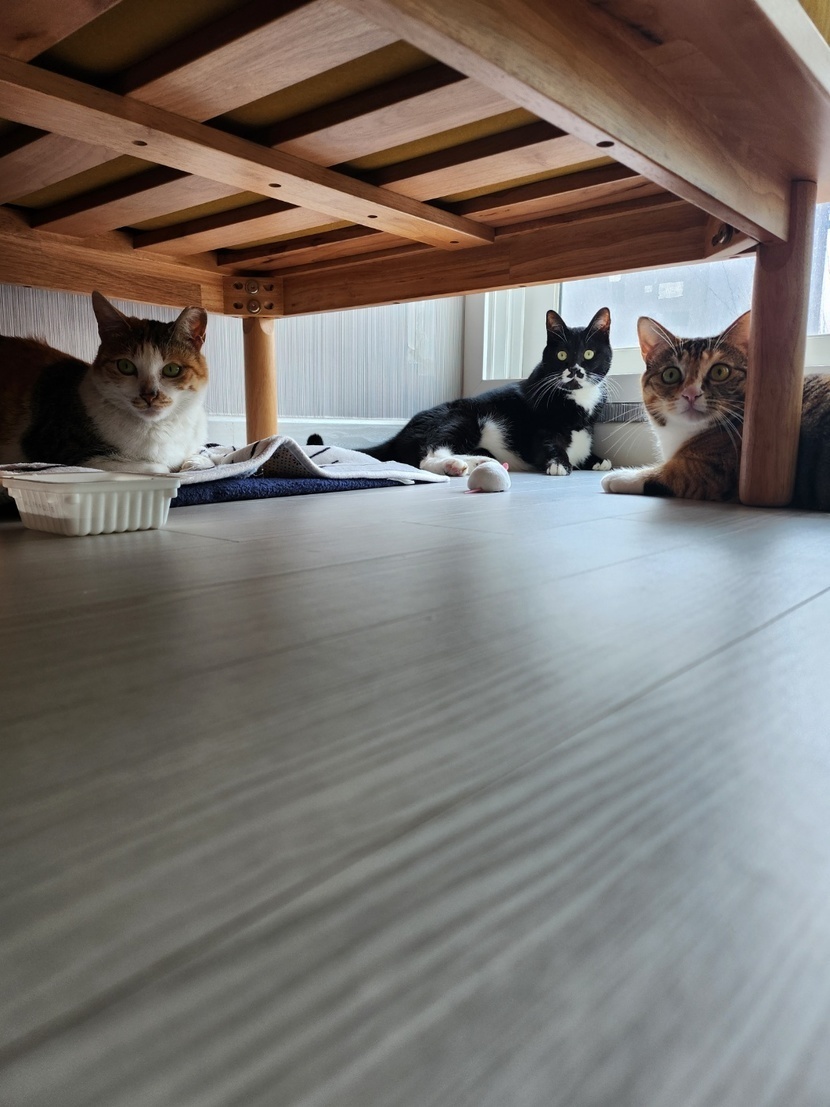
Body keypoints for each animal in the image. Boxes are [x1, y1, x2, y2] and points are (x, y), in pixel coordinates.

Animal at [0, 290, 213, 475]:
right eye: (125, 366)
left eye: (172, 369)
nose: (149, 395)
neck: (160, 428)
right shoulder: (63, 450)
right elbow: (157, 468)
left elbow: (204, 457)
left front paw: (195, 462)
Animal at [336, 307, 613, 477]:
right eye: (562, 355)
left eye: (589, 353)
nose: (575, 371)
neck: (575, 401)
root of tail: (399, 435)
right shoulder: (538, 431)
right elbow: (548, 444)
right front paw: (559, 463)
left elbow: (584, 450)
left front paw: (598, 460)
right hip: (462, 417)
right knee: (427, 456)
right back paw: (454, 465)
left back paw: (480, 462)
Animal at [600, 310, 830, 510]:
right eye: (670, 374)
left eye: (720, 371)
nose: (691, 394)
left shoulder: (716, 471)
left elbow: (669, 473)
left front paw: (619, 476)